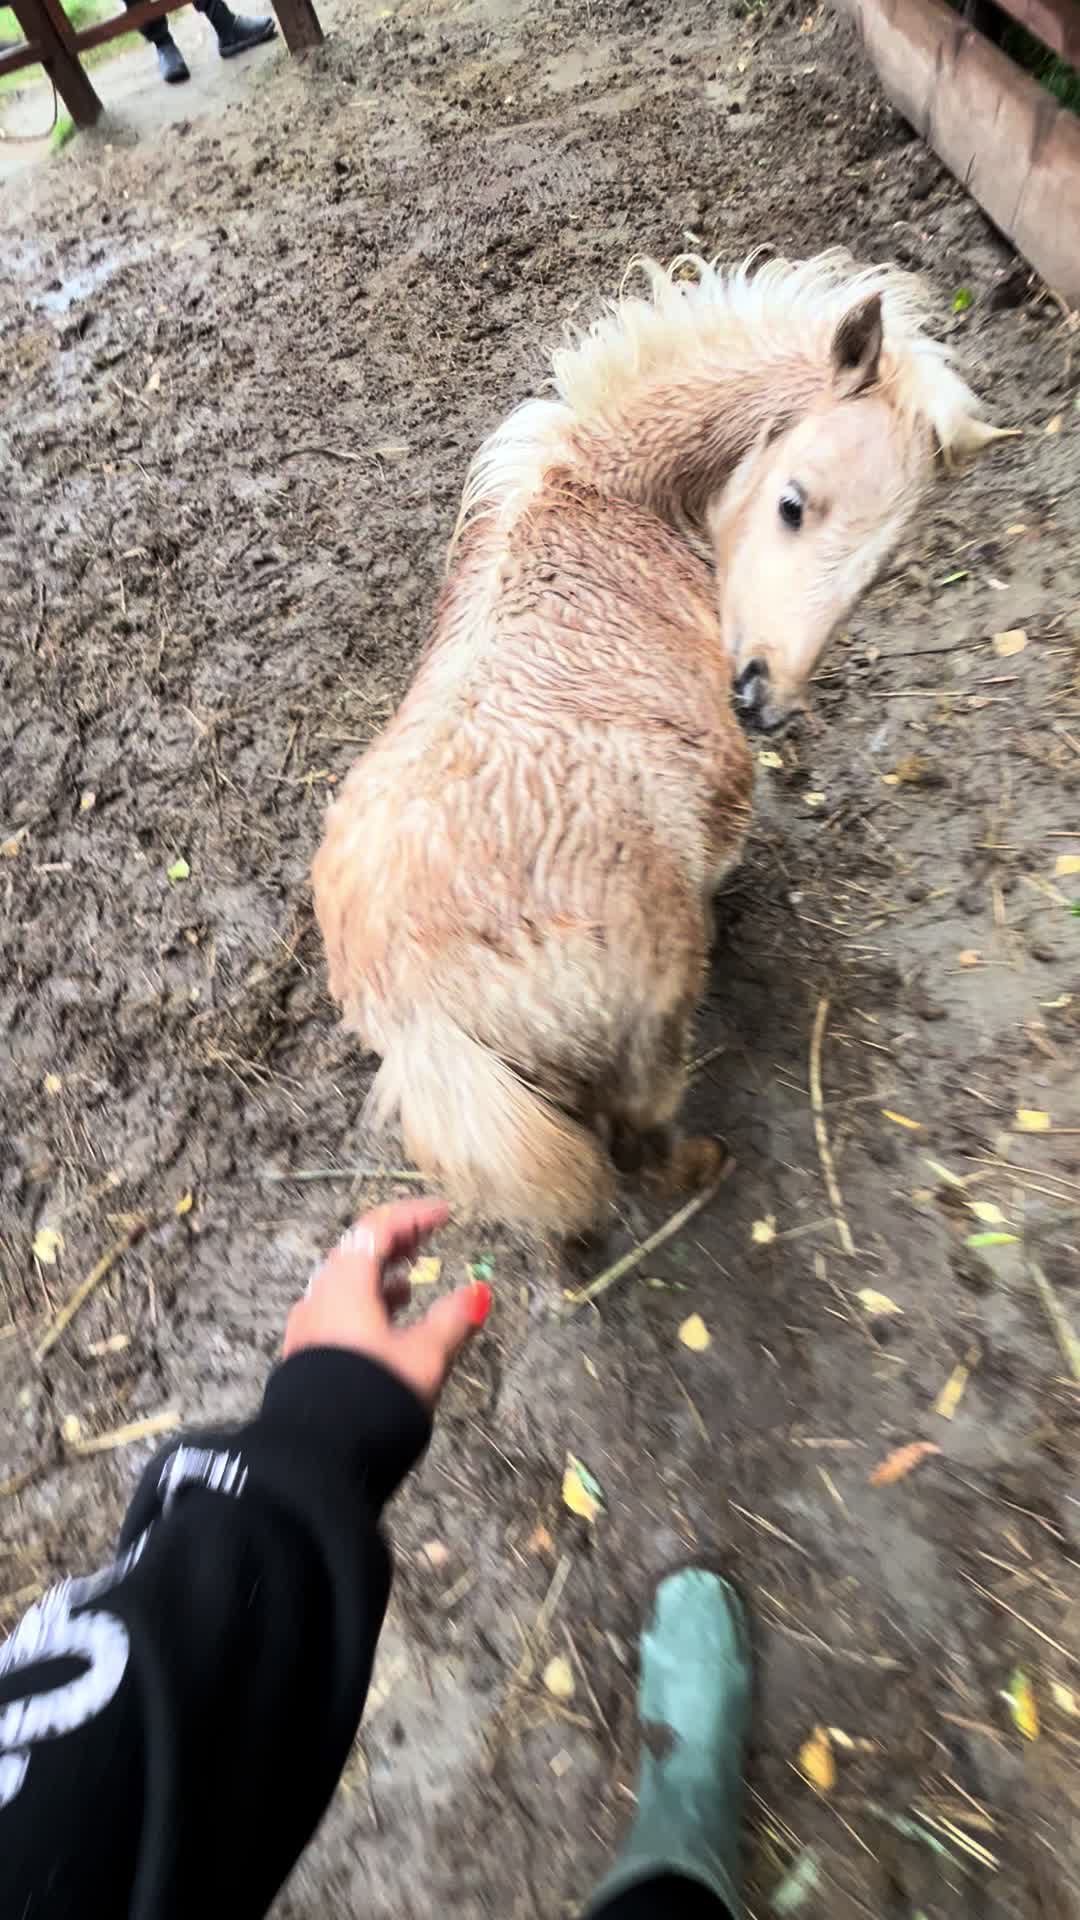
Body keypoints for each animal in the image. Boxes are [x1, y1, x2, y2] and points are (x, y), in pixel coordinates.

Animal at [313, 250, 1009, 1236]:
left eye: (883, 564)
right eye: (794, 503)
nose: (762, 697)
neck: (607, 499)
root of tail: (423, 1012)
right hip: (648, 1032)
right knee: (637, 1140)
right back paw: (704, 1165)